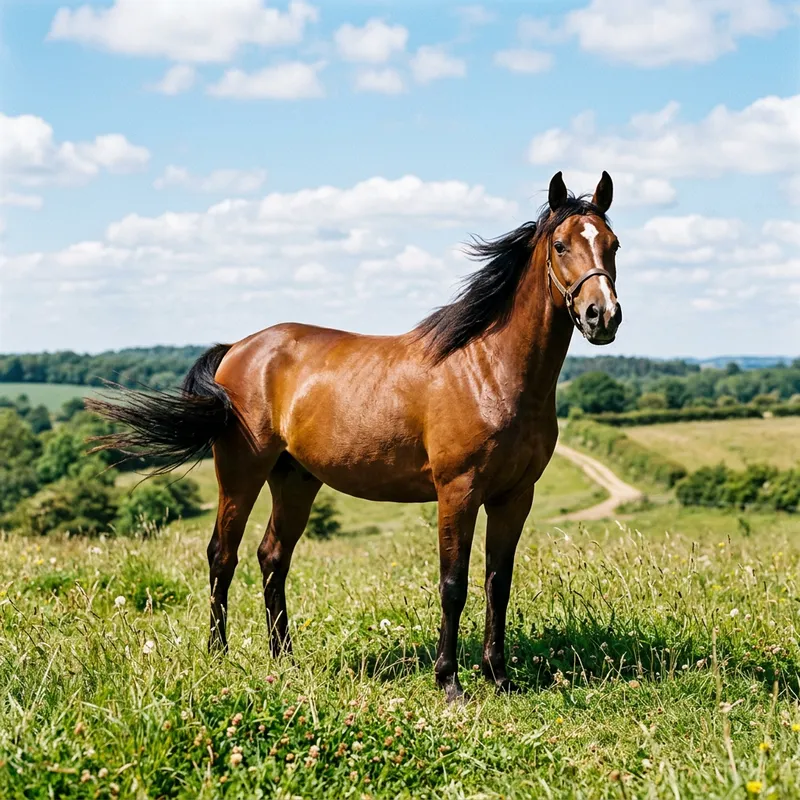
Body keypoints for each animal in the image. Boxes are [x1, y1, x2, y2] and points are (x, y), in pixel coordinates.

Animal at [88, 170, 623, 702]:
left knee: (272, 557)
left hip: (295, 479)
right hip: (240, 474)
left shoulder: (515, 496)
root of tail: (238, 348)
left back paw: (284, 658)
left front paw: (499, 676)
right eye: (560, 245)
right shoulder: (458, 492)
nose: (603, 316)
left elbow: (498, 583)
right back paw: (218, 654)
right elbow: (454, 584)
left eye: (613, 244)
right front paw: (449, 681)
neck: (489, 370)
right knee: (223, 555)